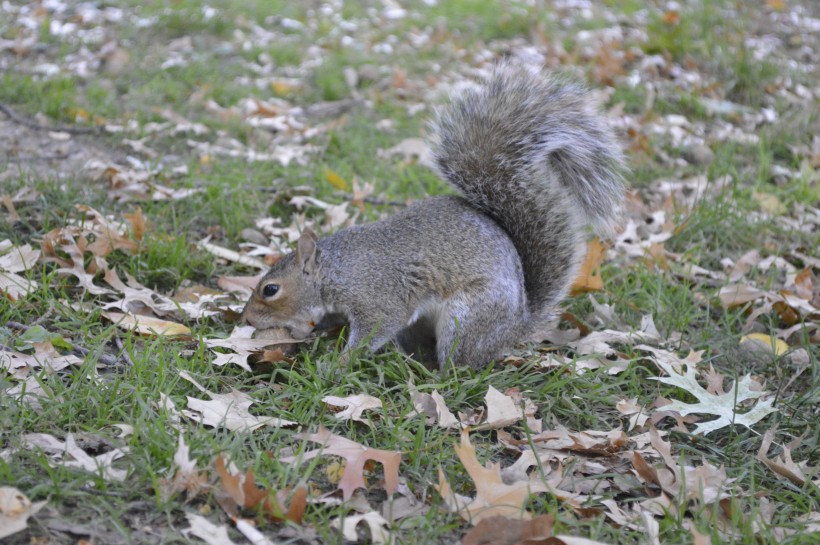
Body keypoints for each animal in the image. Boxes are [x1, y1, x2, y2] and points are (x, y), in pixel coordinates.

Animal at [240, 63, 624, 370]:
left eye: (270, 290)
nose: (246, 318)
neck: (336, 270)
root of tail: (515, 328)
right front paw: (320, 331)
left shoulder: (378, 298)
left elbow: (373, 331)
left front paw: (338, 363)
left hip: (466, 317)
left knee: (461, 364)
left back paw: (434, 376)